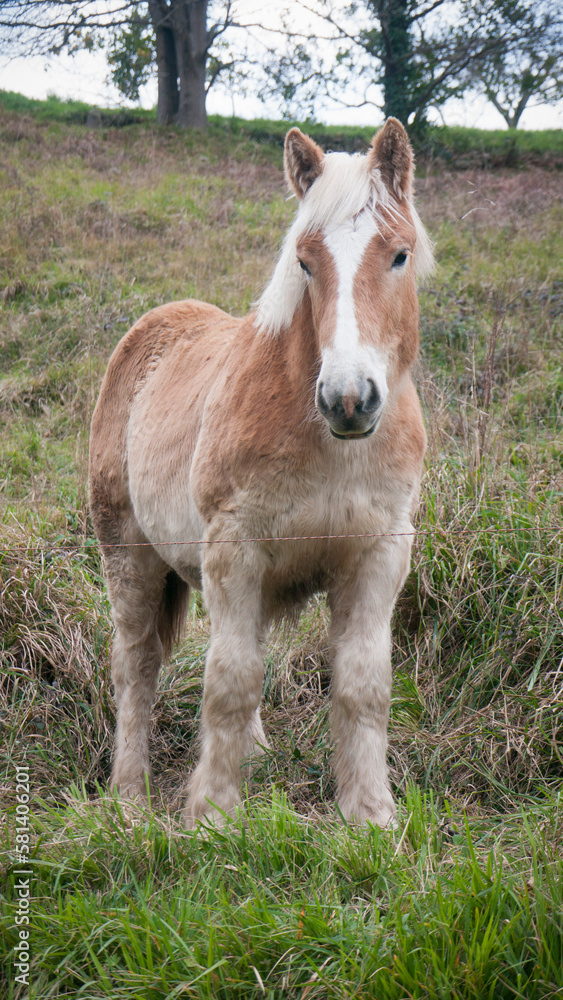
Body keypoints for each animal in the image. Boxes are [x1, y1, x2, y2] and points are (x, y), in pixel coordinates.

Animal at [89, 117, 434, 828]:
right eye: (305, 262)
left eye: (399, 254)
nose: (348, 399)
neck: (330, 446)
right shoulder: (235, 550)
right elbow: (230, 681)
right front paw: (212, 816)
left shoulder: (379, 554)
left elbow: (361, 686)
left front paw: (371, 816)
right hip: (129, 556)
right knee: (137, 668)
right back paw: (129, 797)